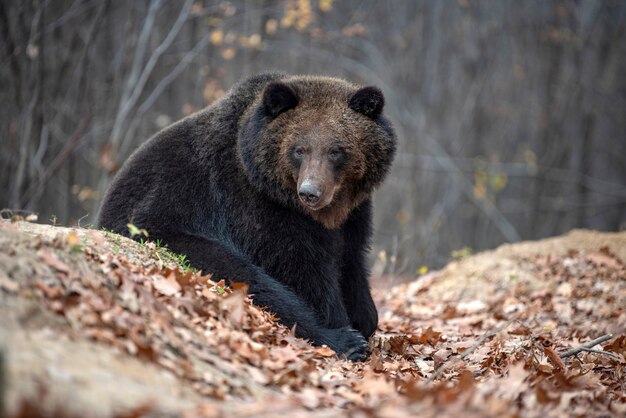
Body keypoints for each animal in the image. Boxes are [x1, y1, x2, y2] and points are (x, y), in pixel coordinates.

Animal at [100, 72, 398, 360]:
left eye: (336, 150)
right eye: (299, 149)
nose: (310, 192)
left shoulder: (354, 215)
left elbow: (352, 259)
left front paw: (365, 317)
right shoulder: (257, 208)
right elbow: (302, 269)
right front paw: (344, 328)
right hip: (164, 228)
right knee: (244, 275)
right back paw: (341, 340)